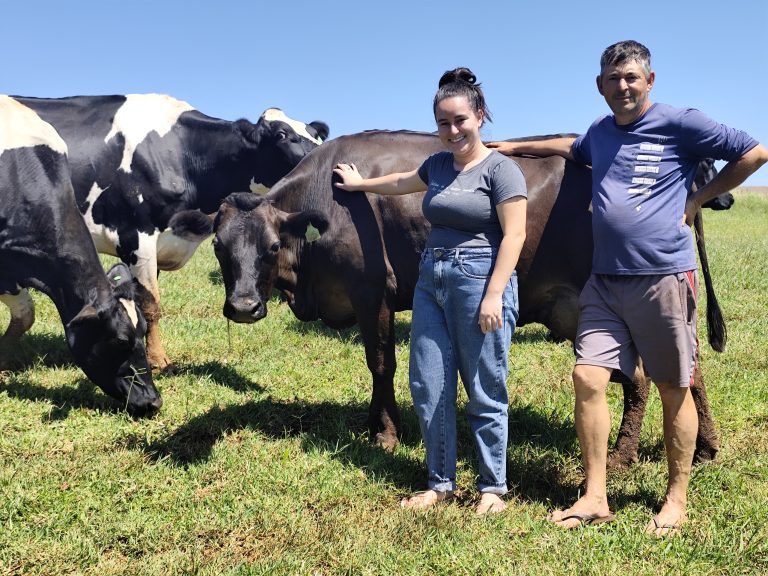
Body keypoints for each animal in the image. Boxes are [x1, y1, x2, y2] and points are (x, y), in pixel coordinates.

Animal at [15, 94, 329, 372]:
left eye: (317, 136)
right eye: (281, 135)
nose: (322, 160)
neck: (178, 152)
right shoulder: (135, 237)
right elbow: (151, 304)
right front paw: (158, 361)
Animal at [212, 129, 723, 465]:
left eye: (271, 247)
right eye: (218, 246)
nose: (243, 307)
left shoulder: (372, 291)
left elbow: (381, 363)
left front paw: (385, 432)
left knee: (644, 376)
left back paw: (622, 454)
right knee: (687, 368)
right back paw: (704, 446)